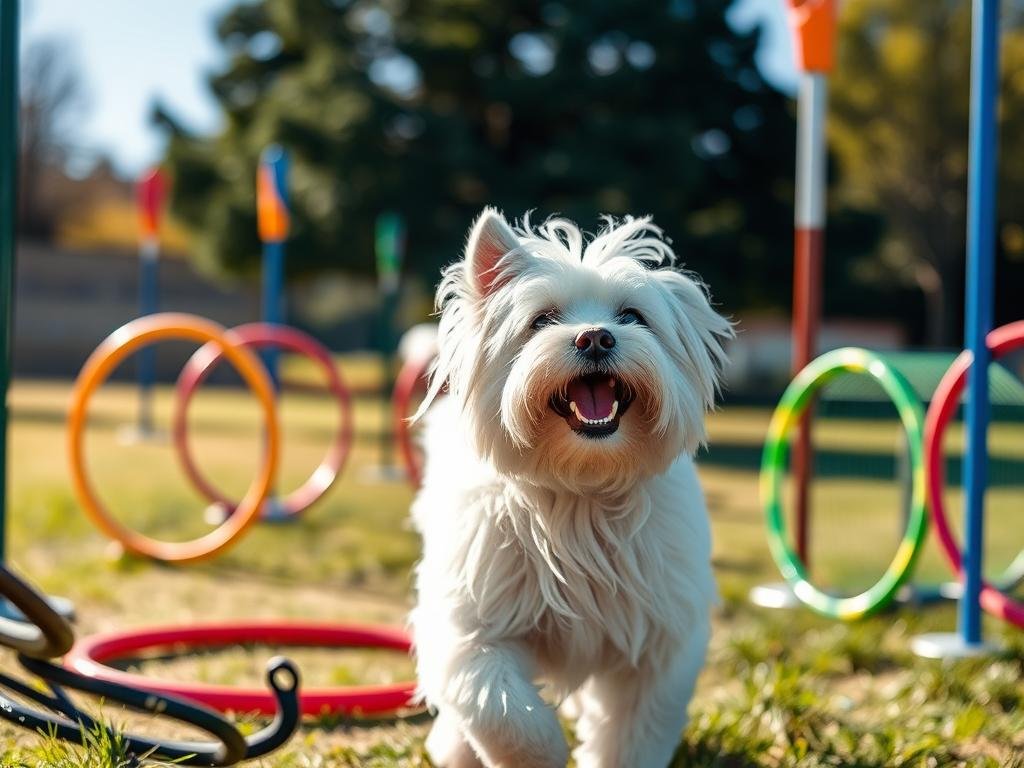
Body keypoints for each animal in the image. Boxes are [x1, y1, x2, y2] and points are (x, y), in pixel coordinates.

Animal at [411, 208, 733, 768]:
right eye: (541, 320)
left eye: (632, 316)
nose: (596, 338)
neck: (582, 488)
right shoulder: (469, 628)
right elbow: (502, 711)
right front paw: (537, 753)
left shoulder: (658, 645)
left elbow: (632, 735)